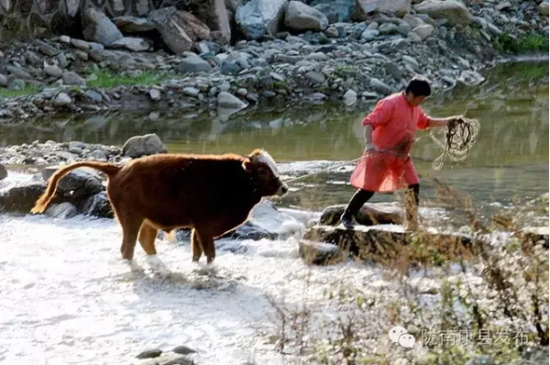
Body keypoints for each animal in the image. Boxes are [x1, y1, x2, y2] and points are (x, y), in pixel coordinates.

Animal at [31, 148, 288, 262]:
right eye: (263, 171)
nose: (283, 188)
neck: (236, 180)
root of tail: (118, 168)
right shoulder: (204, 228)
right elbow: (210, 255)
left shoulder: (197, 229)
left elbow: (197, 253)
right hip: (130, 219)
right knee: (127, 248)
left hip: (147, 222)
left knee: (145, 243)